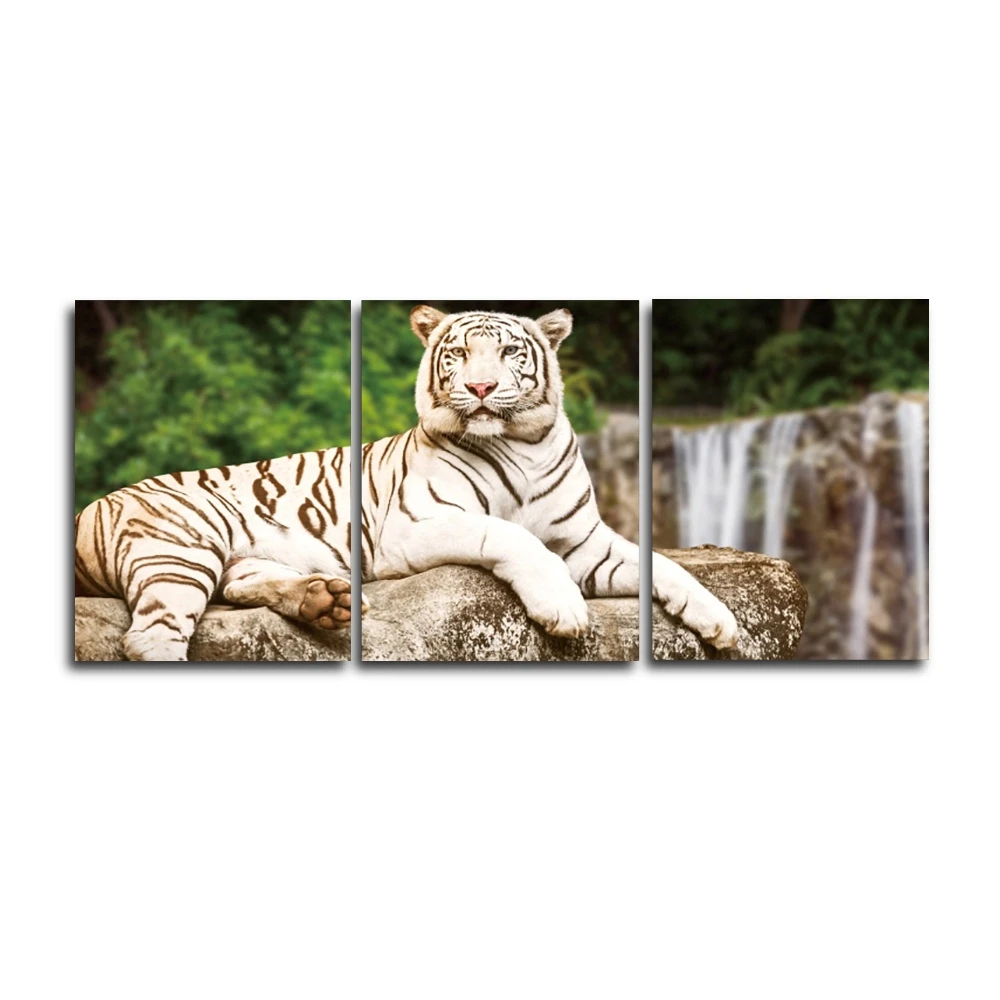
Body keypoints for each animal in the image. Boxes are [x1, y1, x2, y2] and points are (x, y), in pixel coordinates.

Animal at [360, 305, 739, 651]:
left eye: (509, 351)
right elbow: (508, 533)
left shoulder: (584, 542)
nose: (481, 387)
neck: (525, 444)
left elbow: (662, 564)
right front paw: (563, 608)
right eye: (459, 352)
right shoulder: (411, 525)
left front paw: (721, 620)